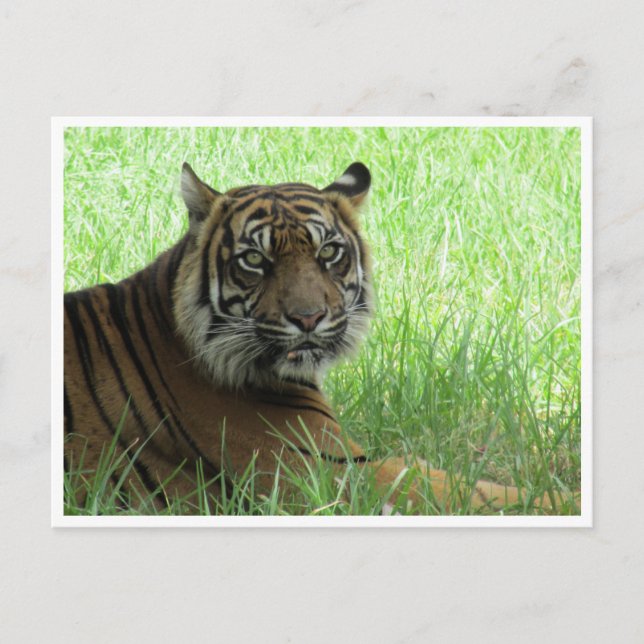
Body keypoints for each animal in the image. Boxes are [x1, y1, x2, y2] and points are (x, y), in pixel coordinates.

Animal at [64, 161, 575, 515]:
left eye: (328, 252)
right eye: (255, 260)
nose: (308, 318)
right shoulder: (333, 476)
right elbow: (471, 492)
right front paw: (566, 499)